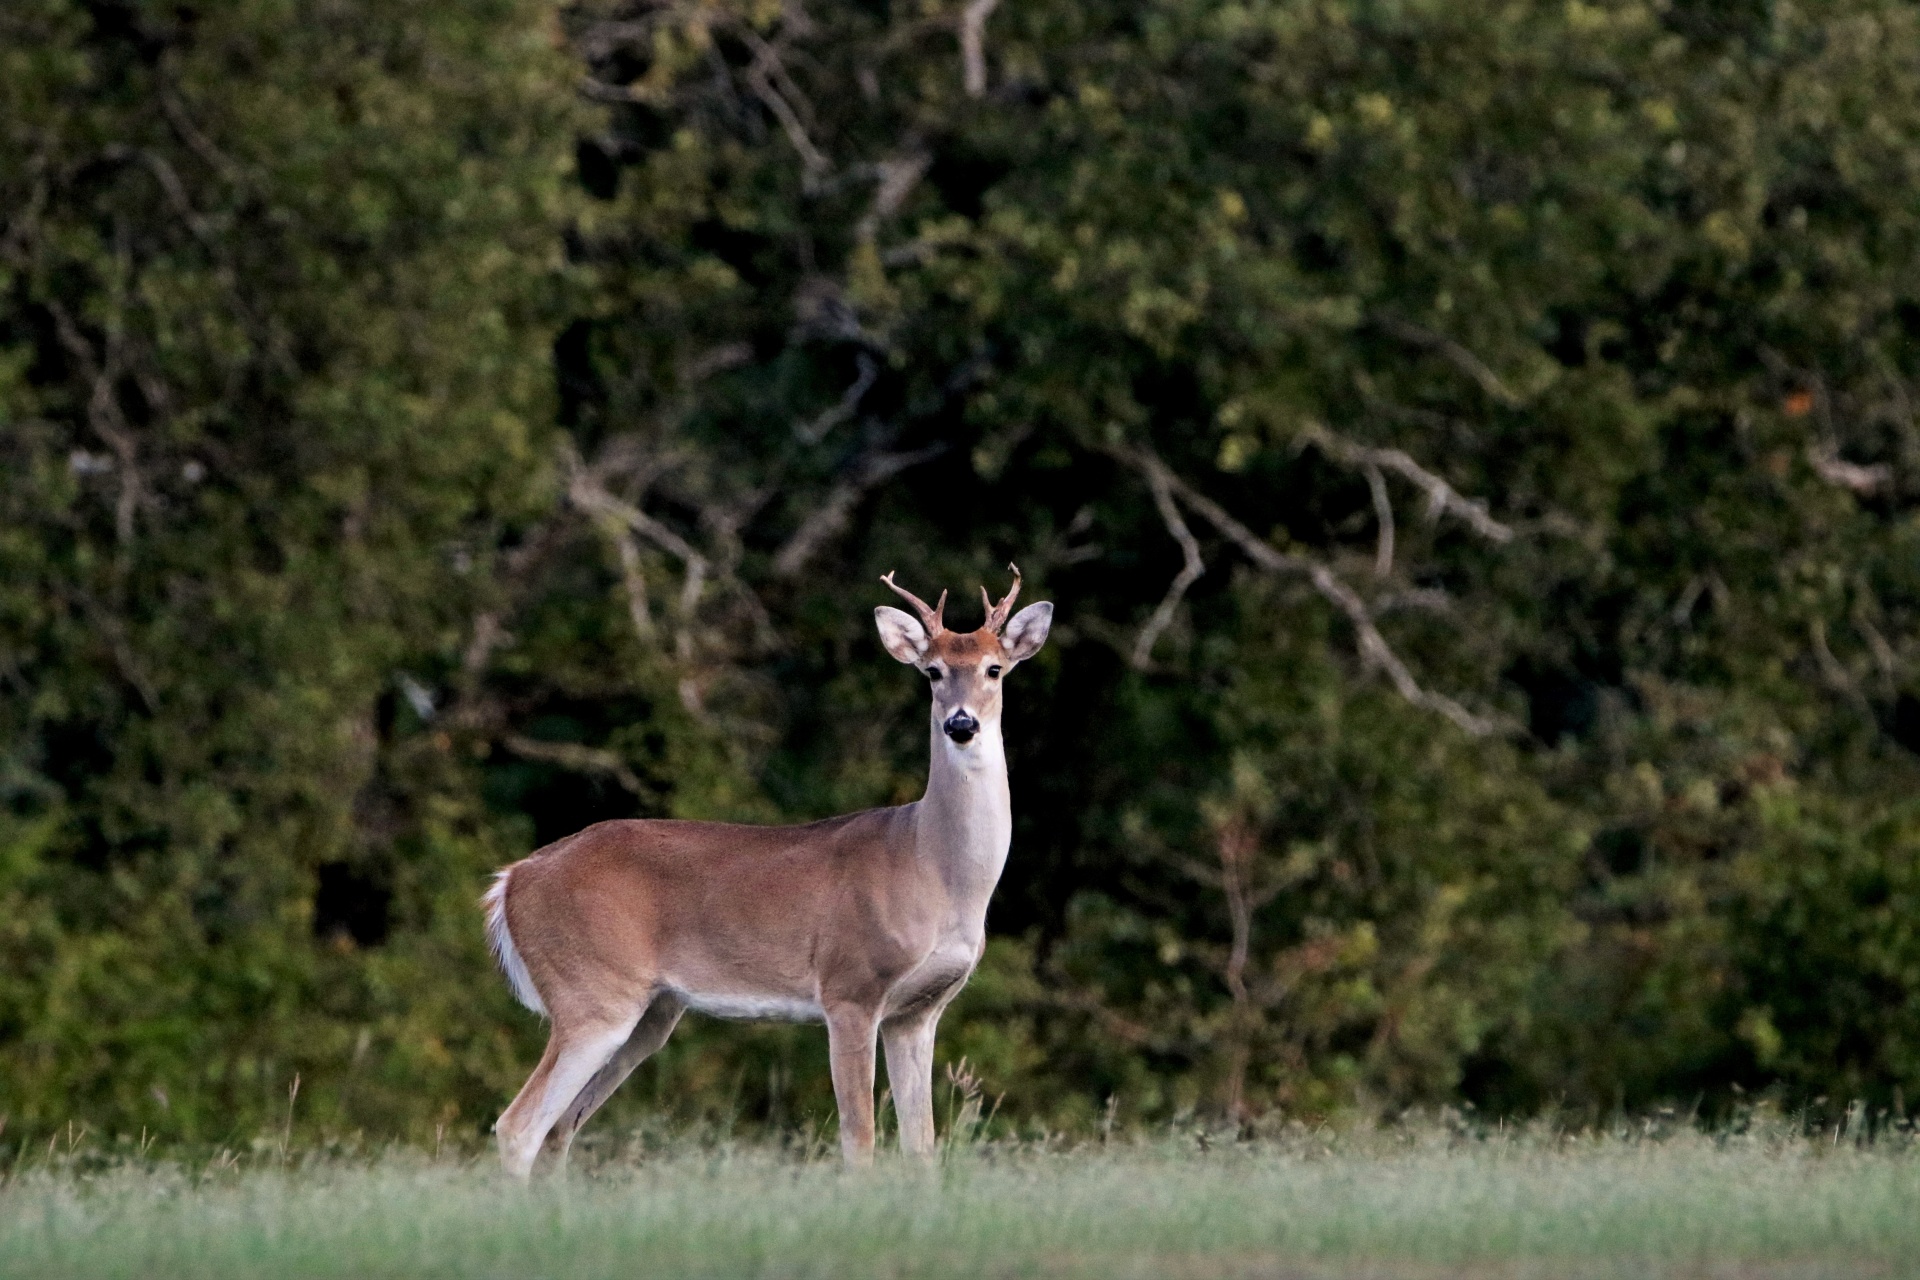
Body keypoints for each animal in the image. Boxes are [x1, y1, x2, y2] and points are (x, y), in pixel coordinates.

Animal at [478, 564, 1052, 1174]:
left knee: (560, 1129)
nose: (961, 724)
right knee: (518, 1126)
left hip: (650, 1012)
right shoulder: (850, 986)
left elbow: (921, 1146)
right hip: (591, 992)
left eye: (994, 668)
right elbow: (860, 1139)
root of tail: (511, 880)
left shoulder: (918, 1013)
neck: (932, 867)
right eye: (932, 671)